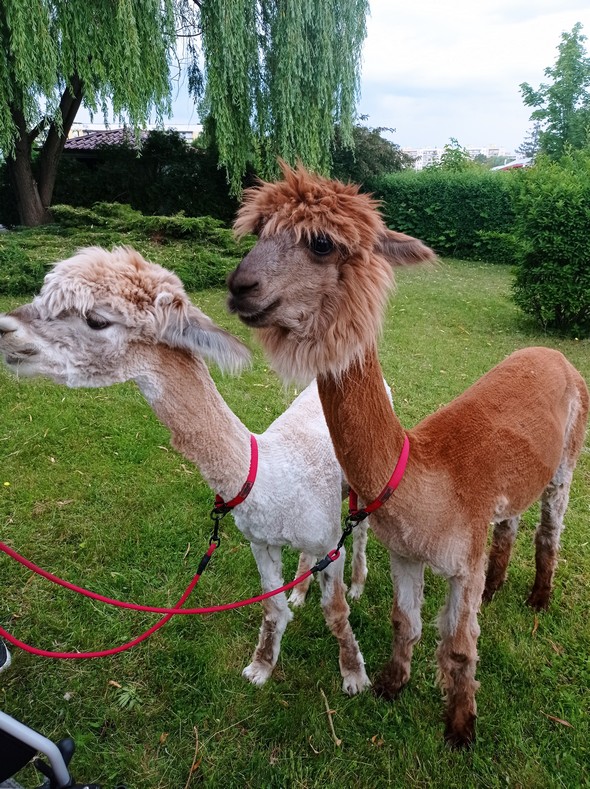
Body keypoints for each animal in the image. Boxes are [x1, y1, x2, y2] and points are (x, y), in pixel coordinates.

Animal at [0, 245, 373, 695]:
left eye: (97, 320)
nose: (4, 328)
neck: (269, 476)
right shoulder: (261, 541)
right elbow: (271, 607)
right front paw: (261, 667)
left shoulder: (328, 539)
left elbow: (335, 612)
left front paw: (354, 676)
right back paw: (300, 590)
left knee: (361, 531)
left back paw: (358, 584)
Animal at [227, 162, 589, 747]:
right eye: (258, 232)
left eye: (321, 243)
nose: (240, 286)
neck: (420, 475)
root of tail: (554, 352)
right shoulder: (406, 553)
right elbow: (406, 624)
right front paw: (389, 686)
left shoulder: (461, 560)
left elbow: (459, 648)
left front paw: (460, 728)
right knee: (509, 524)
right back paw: (498, 588)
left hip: (568, 458)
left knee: (549, 527)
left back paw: (537, 598)